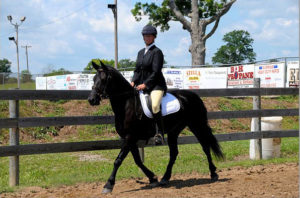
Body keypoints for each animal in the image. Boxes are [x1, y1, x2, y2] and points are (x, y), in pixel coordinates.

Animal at [86, 61, 223, 193]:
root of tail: (194, 96)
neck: (126, 105)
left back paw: (213, 173)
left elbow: (118, 160)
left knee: (205, 147)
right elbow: (137, 160)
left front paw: (108, 185)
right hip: (174, 131)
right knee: (174, 153)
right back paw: (165, 178)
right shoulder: (129, 138)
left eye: (103, 79)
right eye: (93, 78)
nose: (92, 99)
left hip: (197, 126)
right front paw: (153, 178)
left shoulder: (130, 137)